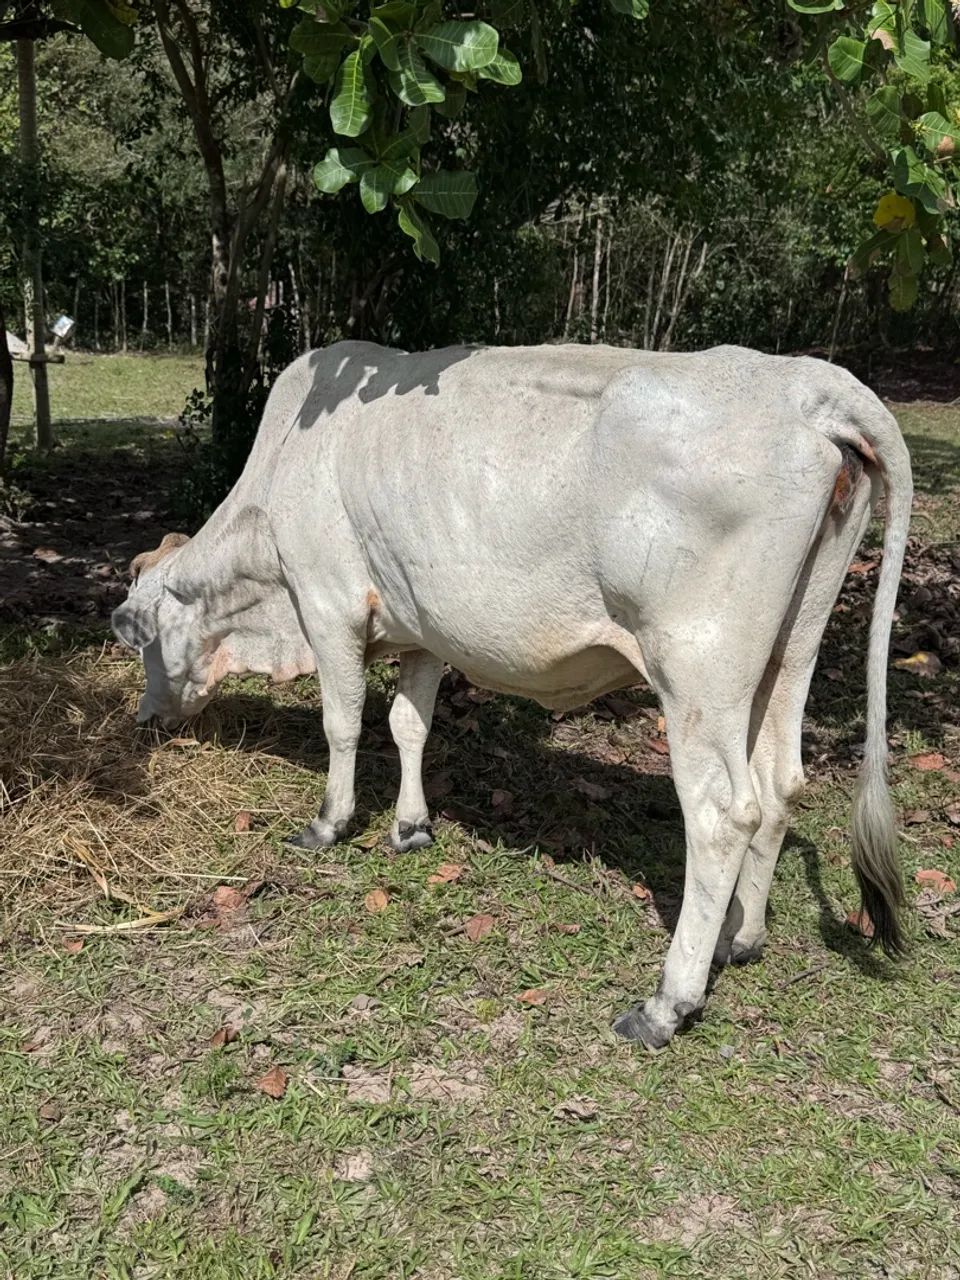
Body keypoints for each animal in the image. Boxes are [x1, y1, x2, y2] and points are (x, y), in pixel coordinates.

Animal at [112, 342, 912, 1049]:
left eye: (142, 634)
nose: (146, 717)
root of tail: (804, 385)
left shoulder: (328, 602)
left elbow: (343, 724)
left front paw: (328, 824)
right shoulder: (422, 627)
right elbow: (408, 725)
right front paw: (410, 826)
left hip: (698, 669)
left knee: (722, 813)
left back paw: (668, 1001)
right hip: (791, 651)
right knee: (780, 786)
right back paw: (739, 938)